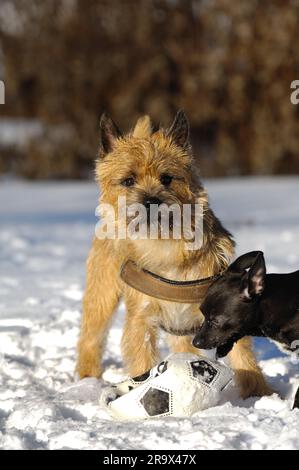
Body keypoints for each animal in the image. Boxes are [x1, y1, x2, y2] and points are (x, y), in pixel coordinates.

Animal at [77, 112, 272, 398]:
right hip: (102, 292)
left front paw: (260, 395)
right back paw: (86, 379)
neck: (164, 245)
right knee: (91, 336)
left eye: (167, 178)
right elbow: (143, 361)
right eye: (128, 180)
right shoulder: (141, 321)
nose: (151, 201)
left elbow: (243, 357)